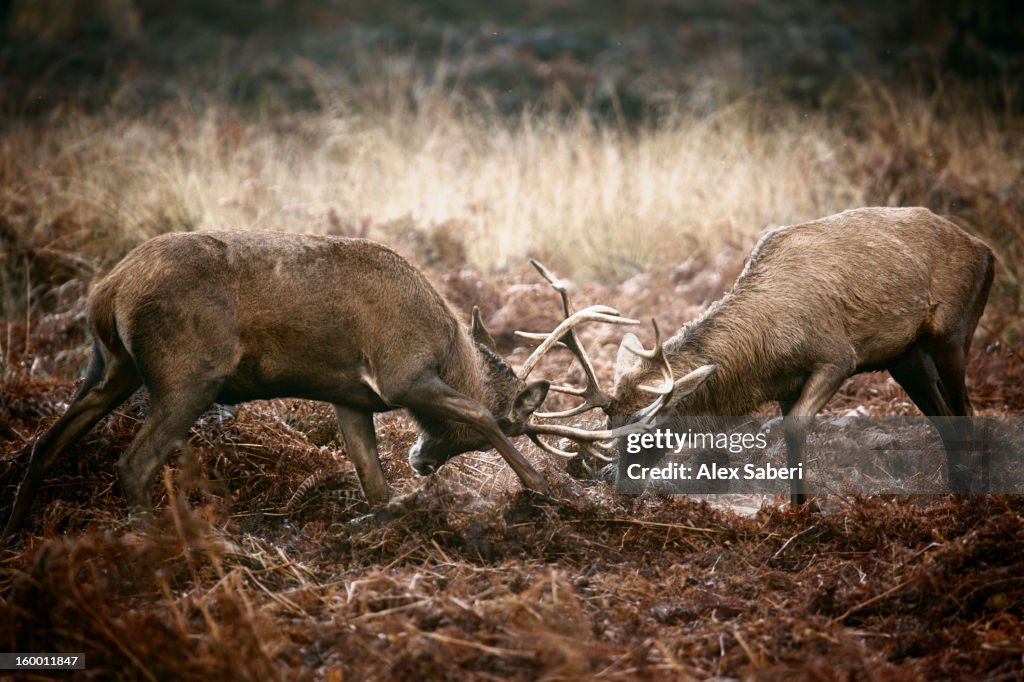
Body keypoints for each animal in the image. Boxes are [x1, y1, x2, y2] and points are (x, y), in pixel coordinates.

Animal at [520, 205, 991, 499]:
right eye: (610, 425)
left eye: (651, 431)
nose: (621, 488)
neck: (764, 355)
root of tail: (986, 250)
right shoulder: (787, 384)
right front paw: (798, 509)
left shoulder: (837, 355)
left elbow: (796, 427)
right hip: (905, 358)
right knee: (944, 417)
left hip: (952, 332)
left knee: (967, 411)